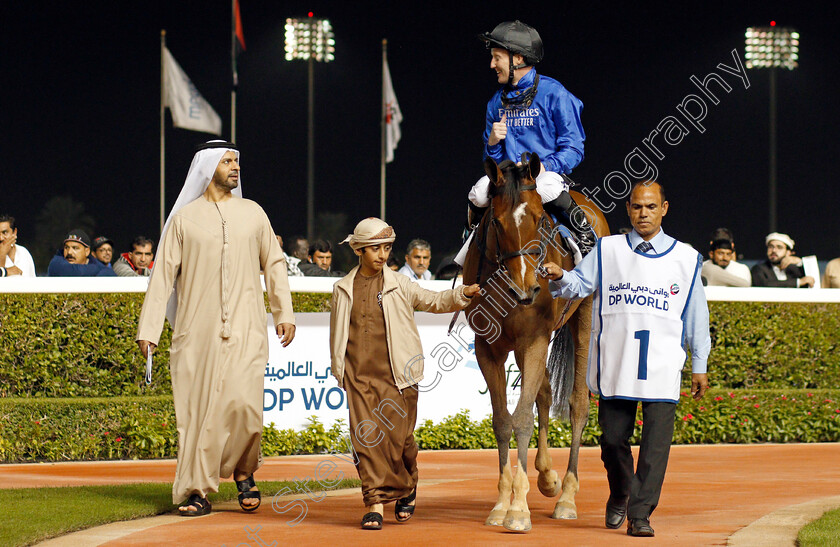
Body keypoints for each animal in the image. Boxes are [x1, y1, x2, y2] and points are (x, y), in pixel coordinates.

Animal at [462, 156, 608, 532]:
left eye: (541, 219)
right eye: (495, 222)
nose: (526, 288)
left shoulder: (534, 339)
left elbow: (523, 418)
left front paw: (518, 509)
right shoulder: (489, 347)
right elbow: (503, 420)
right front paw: (503, 502)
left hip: (583, 318)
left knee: (577, 404)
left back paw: (567, 496)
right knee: (543, 391)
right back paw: (546, 476)